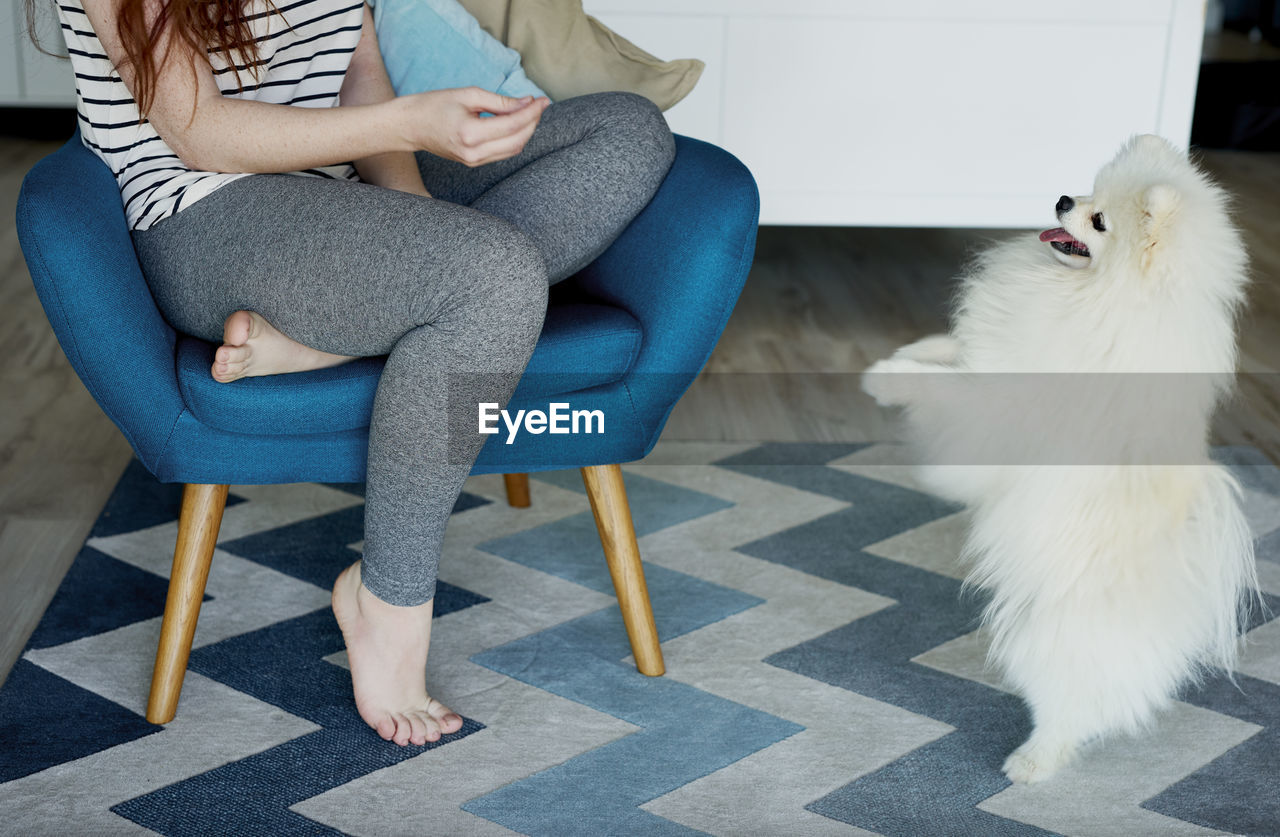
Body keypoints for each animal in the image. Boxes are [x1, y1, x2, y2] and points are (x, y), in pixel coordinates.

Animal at [860, 136, 1259, 788]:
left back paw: (1031, 763)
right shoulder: (1000, 350)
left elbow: (946, 389)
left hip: (1052, 643)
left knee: (1075, 711)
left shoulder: (999, 408)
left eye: (1099, 222)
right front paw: (913, 350)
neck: (1093, 300)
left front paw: (887, 379)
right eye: (1090, 189)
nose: (1064, 199)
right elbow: (954, 351)